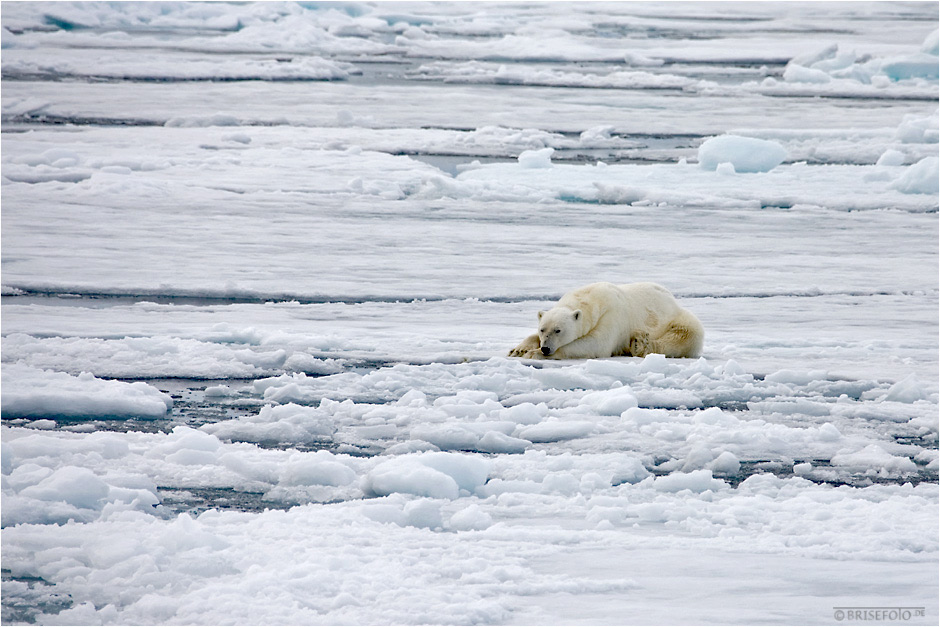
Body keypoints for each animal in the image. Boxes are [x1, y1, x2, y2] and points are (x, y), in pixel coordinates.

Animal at [506, 282, 704, 360]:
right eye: (543, 329)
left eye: (558, 330)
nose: (546, 348)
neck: (590, 299)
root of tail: (674, 301)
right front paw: (519, 349)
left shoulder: (611, 316)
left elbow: (596, 344)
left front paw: (533, 353)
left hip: (678, 319)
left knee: (682, 336)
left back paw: (639, 344)